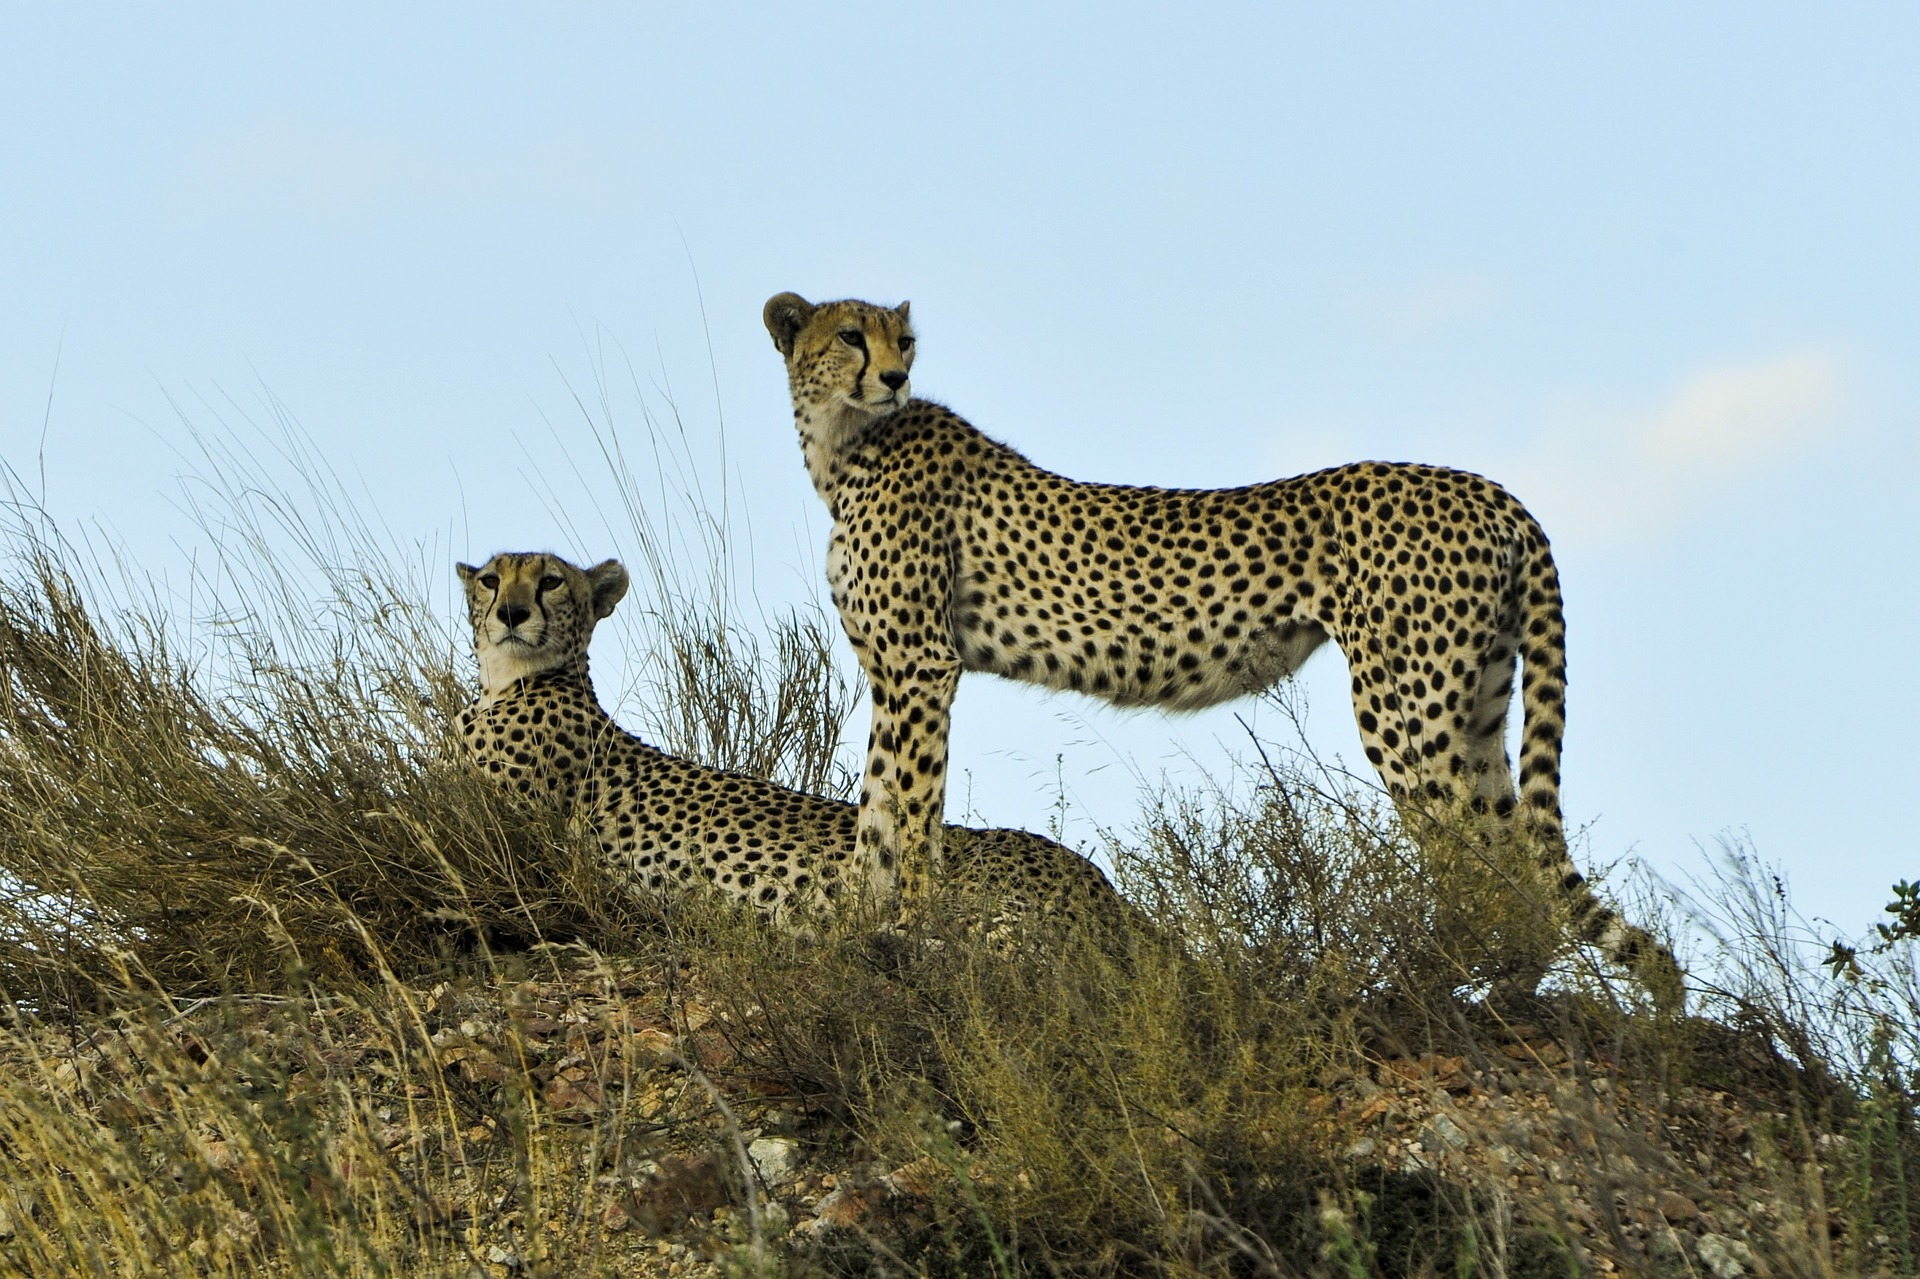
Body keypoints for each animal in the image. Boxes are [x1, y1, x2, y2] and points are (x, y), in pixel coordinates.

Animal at [763, 291, 1681, 1002]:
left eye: (903, 339)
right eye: (851, 335)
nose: (894, 376)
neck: (843, 444)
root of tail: (1488, 486)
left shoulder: (922, 665)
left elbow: (912, 809)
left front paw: (906, 927)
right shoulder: (894, 670)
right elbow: (877, 807)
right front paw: (858, 926)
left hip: (1405, 704)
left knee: (1475, 859)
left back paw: (1427, 984)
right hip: (1480, 697)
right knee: (1512, 853)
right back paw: (1502, 987)